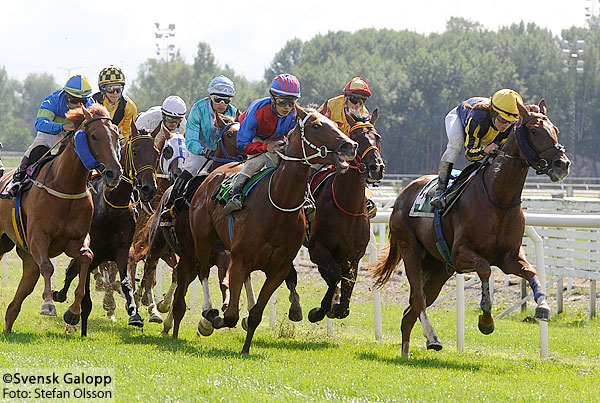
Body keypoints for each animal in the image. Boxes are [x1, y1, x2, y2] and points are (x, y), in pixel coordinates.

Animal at [0, 104, 122, 332]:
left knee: (18, 299)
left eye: (116, 135)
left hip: (27, 258)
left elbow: (87, 257)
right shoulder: (38, 236)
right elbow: (48, 266)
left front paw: (73, 311)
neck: (66, 186)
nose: (114, 173)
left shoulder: (76, 240)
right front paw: (48, 304)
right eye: (94, 136)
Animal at [52, 121, 158, 335]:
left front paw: (134, 314)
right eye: (135, 151)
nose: (149, 189)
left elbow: (126, 283)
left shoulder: (122, 249)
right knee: (72, 272)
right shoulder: (91, 251)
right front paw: (76, 315)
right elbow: (83, 286)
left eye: (157, 153)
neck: (111, 208)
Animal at [166, 104, 357, 353]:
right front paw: (213, 319)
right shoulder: (238, 260)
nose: (350, 145)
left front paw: (246, 348)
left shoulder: (279, 269)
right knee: (202, 271)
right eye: (316, 126)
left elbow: (255, 314)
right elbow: (230, 316)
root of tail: (213, 175)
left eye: (336, 124)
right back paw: (205, 311)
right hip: (202, 240)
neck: (278, 206)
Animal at [304, 109, 385, 323]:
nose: (376, 167)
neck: (347, 206)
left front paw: (340, 305)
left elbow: (348, 279)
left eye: (378, 137)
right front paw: (322, 309)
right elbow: (334, 274)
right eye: (356, 139)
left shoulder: (354, 255)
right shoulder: (317, 249)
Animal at [372, 100, 571, 358]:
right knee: (418, 298)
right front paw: (486, 320)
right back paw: (432, 337)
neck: (498, 198)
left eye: (555, 129)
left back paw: (407, 353)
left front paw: (544, 307)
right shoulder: (460, 253)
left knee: (410, 311)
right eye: (535, 131)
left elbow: (531, 272)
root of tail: (402, 194)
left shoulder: (509, 257)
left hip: (439, 268)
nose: (562, 164)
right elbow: (484, 268)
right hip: (411, 250)